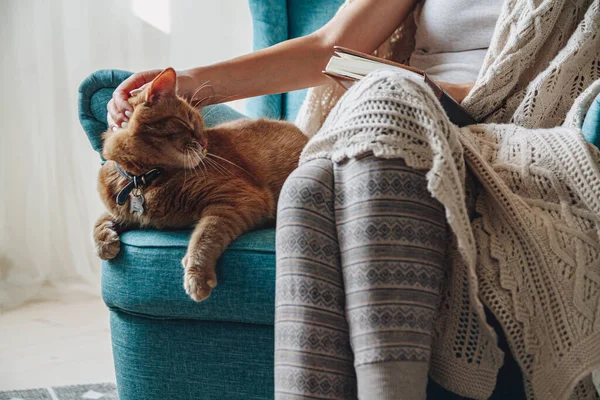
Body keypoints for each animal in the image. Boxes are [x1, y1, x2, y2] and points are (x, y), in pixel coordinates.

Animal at [95, 68, 308, 300]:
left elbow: (206, 233)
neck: (142, 179)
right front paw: (104, 242)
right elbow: (102, 219)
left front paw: (196, 273)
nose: (205, 144)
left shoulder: (238, 198)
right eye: (187, 122)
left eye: (202, 126)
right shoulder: (124, 211)